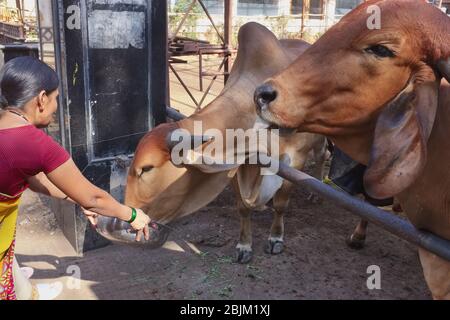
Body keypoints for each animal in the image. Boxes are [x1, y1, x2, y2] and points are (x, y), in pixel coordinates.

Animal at [121, 21, 326, 262]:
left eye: (146, 168)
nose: (126, 219)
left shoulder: (295, 159)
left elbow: (281, 204)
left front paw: (275, 238)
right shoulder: (238, 164)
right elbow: (243, 208)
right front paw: (244, 246)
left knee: (323, 156)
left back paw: (315, 192)